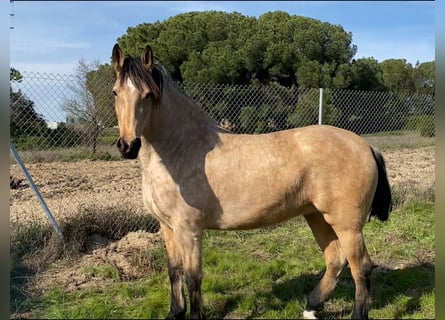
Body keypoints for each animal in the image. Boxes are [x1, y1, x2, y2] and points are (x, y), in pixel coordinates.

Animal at [112, 43, 392, 320]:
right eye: (116, 92)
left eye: (148, 94)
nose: (128, 146)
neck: (182, 148)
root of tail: (366, 146)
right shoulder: (167, 227)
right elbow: (174, 272)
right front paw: (174, 313)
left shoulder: (188, 229)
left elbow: (193, 278)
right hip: (317, 216)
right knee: (335, 260)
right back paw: (311, 307)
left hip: (347, 225)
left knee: (361, 267)